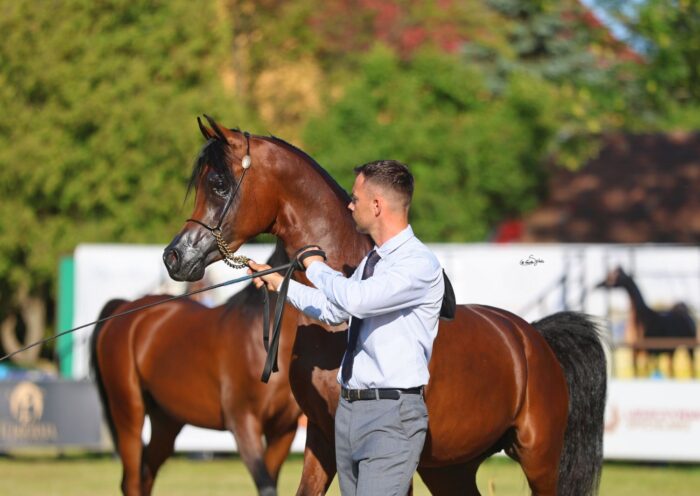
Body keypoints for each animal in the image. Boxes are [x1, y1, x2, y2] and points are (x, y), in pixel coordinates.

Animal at [90, 242, 301, 496]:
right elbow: (267, 486)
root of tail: (124, 308)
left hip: (166, 422)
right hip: (129, 412)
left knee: (146, 475)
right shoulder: (243, 424)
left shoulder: (284, 430)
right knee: (131, 480)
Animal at [162, 117, 608, 495]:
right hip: (450, 469)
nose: (174, 257)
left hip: (539, 460)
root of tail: (534, 339)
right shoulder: (323, 439)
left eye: (220, 184)